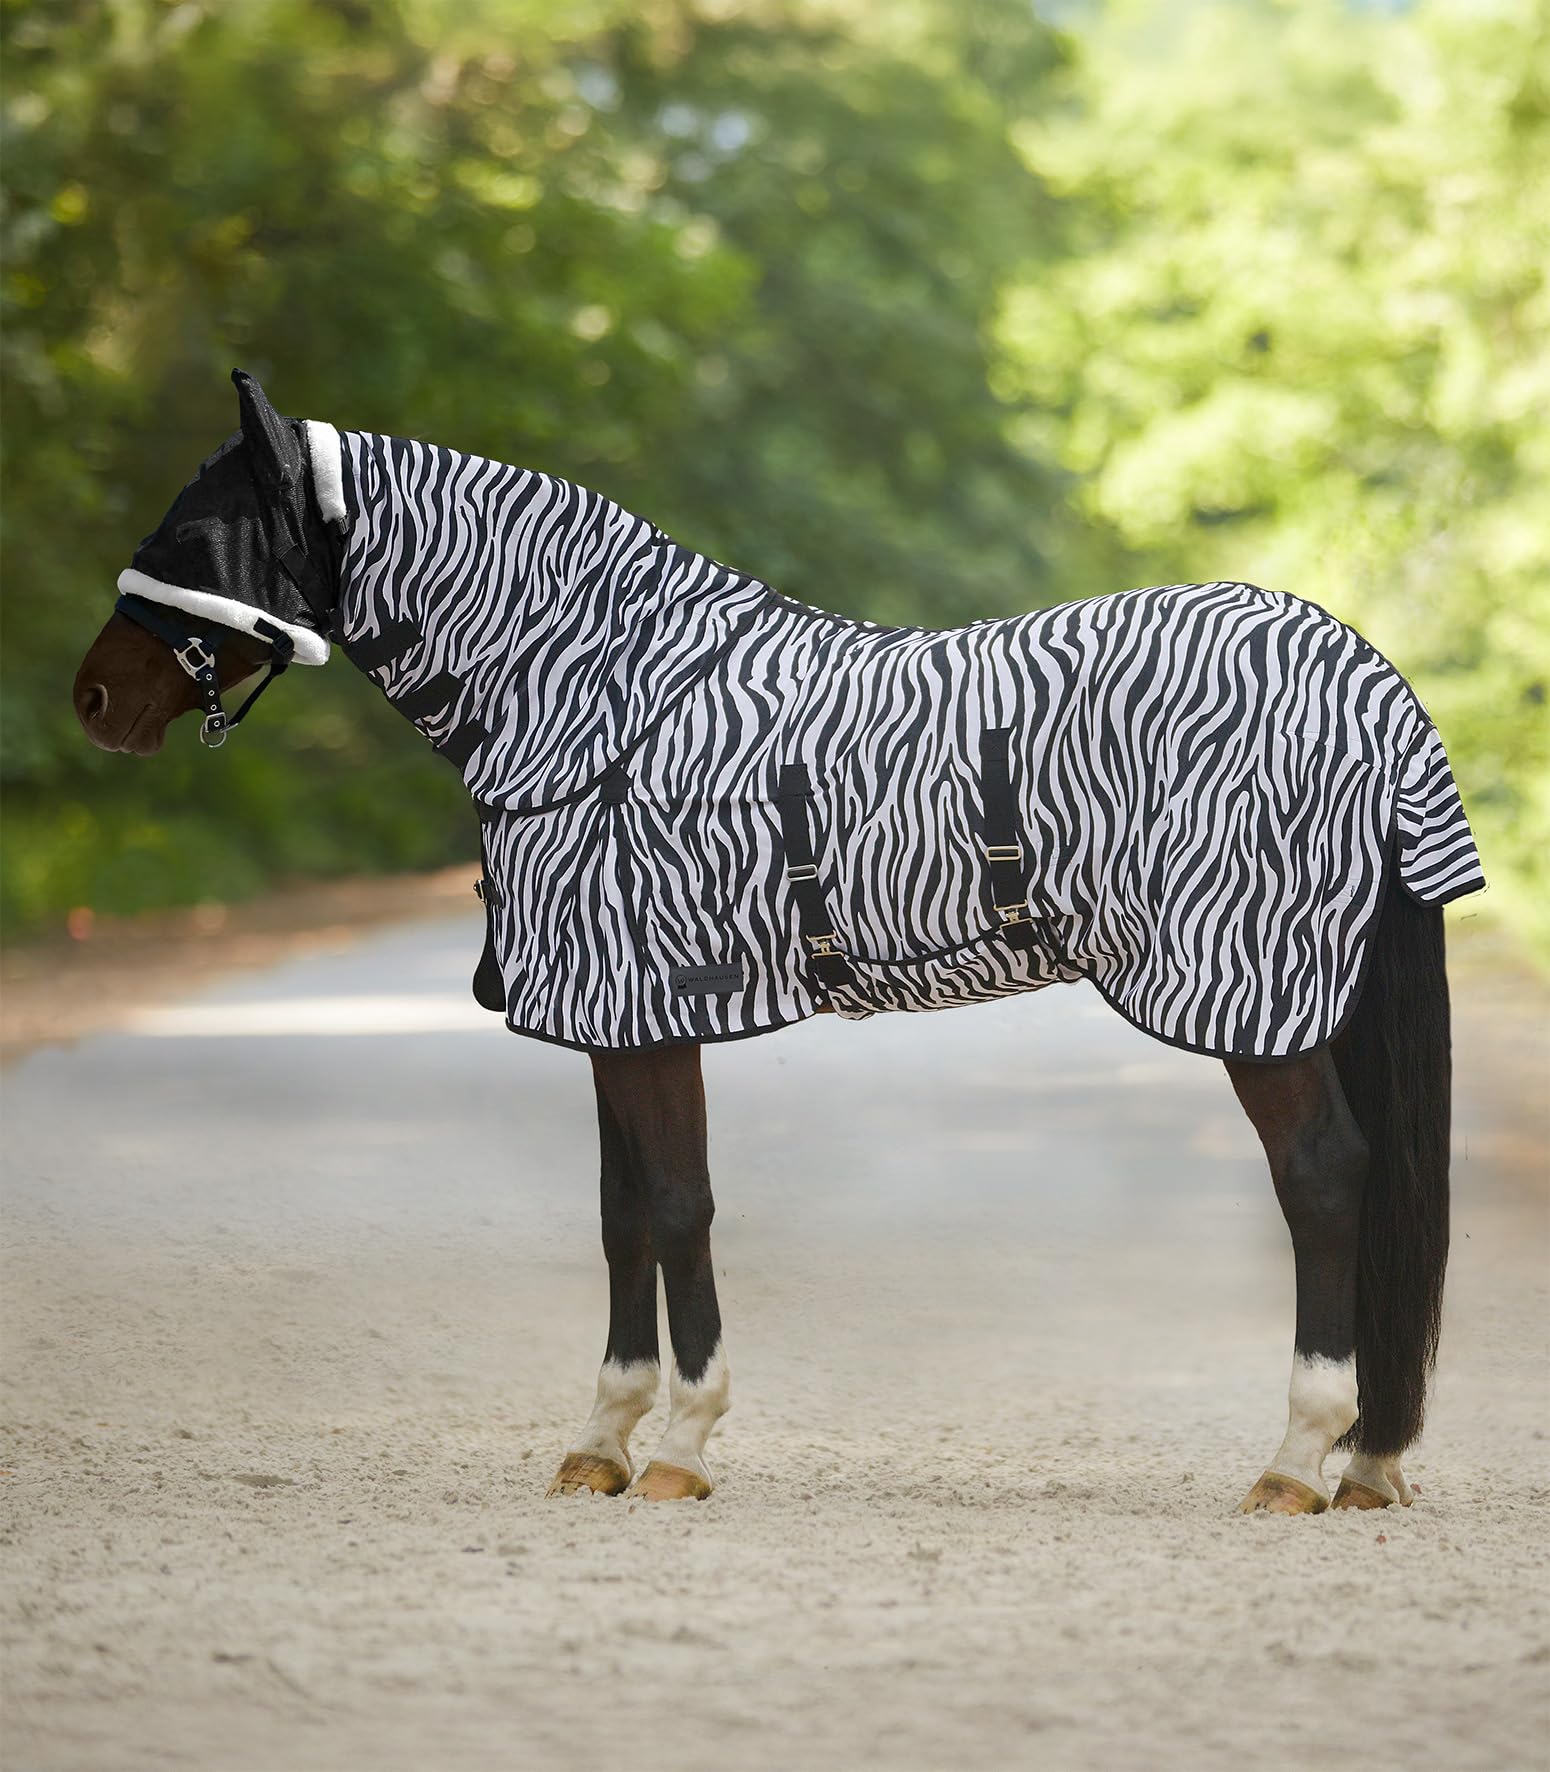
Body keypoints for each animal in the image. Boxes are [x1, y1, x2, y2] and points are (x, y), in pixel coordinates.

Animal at [74, 369, 1482, 1511]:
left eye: (195, 535)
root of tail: (1368, 680)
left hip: (1257, 998)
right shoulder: (614, 1013)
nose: (91, 700)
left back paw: (1296, 1459)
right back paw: (1365, 1459)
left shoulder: (648, 1007)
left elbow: (678, 1204)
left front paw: (682, 1446)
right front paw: (601, 1440)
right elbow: (623, 1214)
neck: (603, 703)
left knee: (1324, 1179)